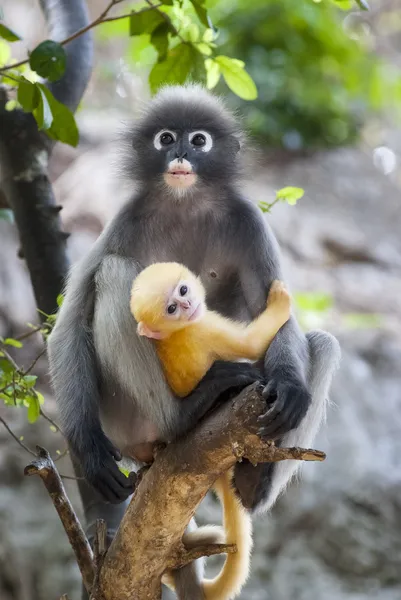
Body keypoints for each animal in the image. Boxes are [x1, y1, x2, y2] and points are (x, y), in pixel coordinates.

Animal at [130, 264, 290, 600]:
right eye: (172, 309)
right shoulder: (204, 328)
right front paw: (281, 300)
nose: (188, 305)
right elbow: (251, 344)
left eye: (182, 291)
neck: (176, 333)